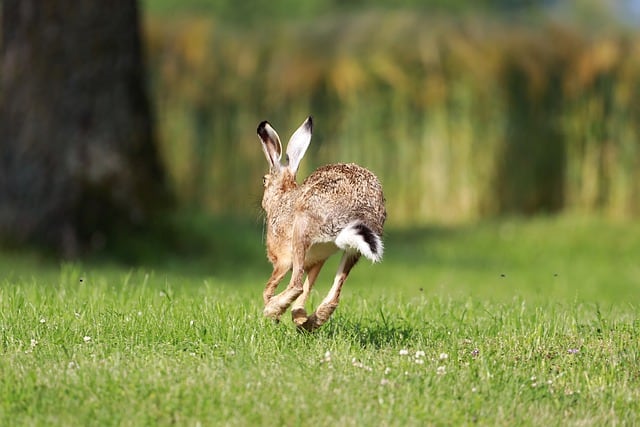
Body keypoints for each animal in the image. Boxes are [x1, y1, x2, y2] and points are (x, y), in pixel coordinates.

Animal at [257, 116, 386, 331]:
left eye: (264, 180)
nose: (262, 202)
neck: (282, 197)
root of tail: (358, 213)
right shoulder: (318, 259)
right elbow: (307, 287)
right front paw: (298, 317)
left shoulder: (282, 260)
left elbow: (271, 287)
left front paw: (274, 317)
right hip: (352, 250)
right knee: (332, 298)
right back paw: (307, 322)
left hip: (301, 229)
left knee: (295, 285)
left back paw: (273, 310)